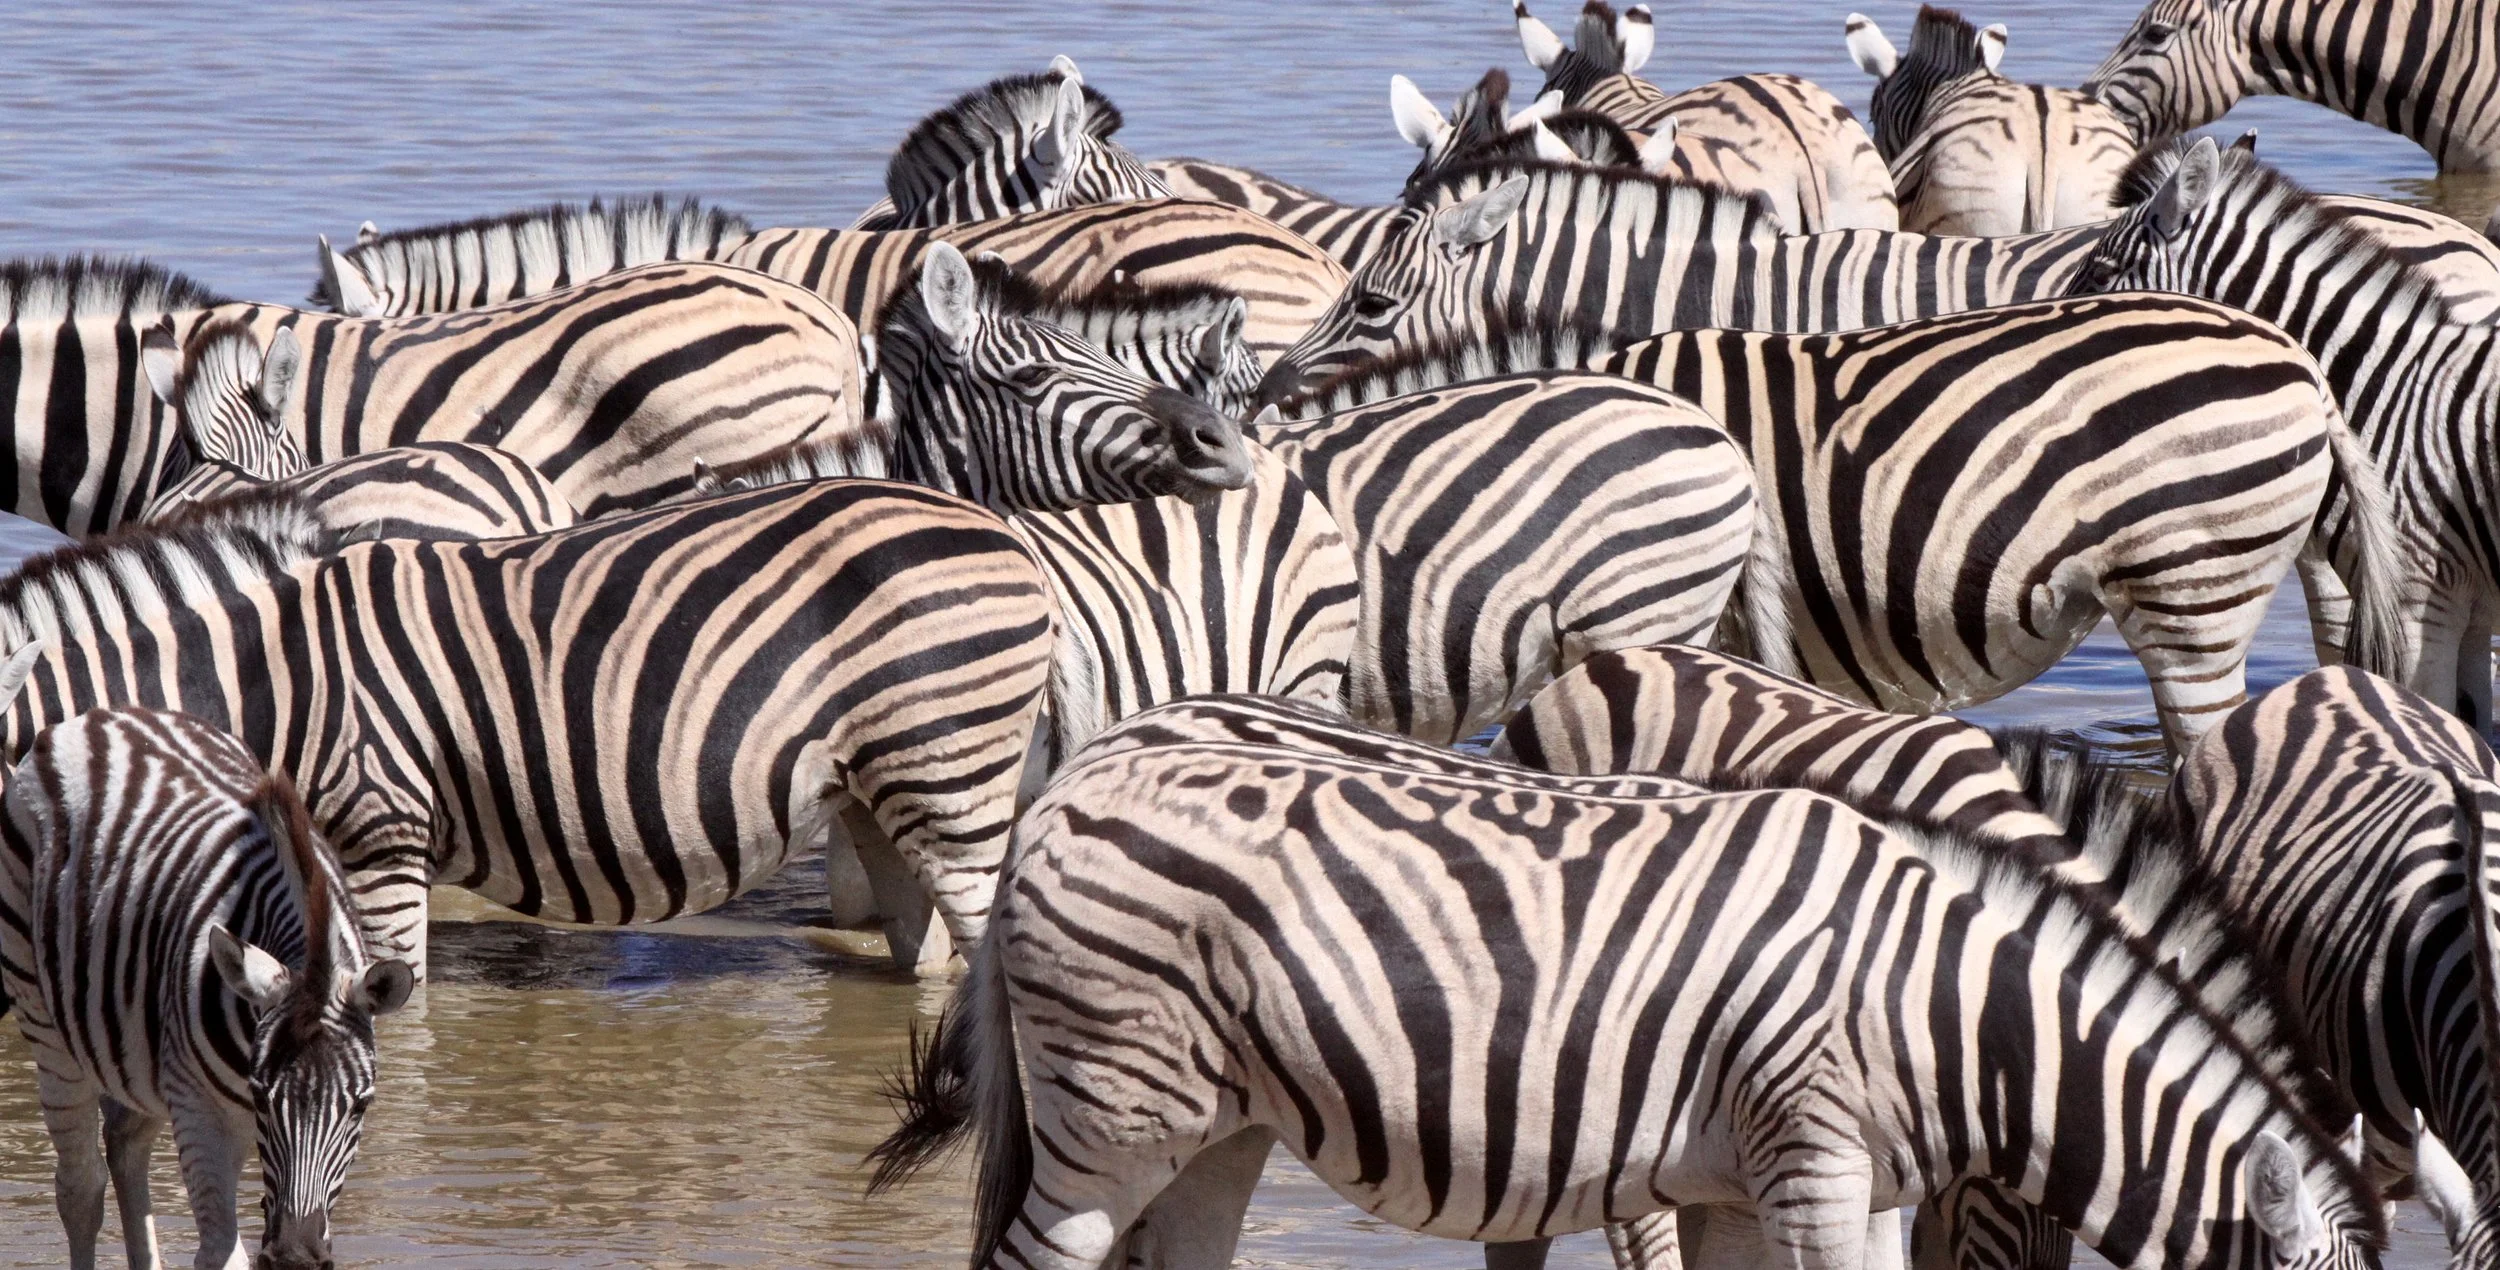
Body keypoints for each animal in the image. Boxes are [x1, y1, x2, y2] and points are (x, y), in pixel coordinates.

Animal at [0, 706, 414, 1270]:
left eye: (360, 1107)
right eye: (262, 1098)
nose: (295, 1257)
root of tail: (103, 716)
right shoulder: (199, 1113)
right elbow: (221, 1251)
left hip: (139, 1049)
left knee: (124, 1143)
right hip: (46, 1025)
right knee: (80, 1189)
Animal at [868, 693, 2386, 1270]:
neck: (1953, 1011)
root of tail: (1075, 774)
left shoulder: (1768, 1179)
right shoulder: (1813, 1158)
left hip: (1217, 1120)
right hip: (1109, 1112)